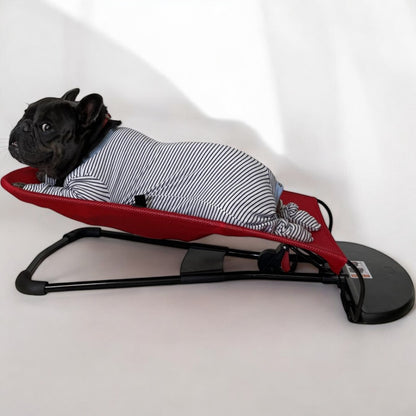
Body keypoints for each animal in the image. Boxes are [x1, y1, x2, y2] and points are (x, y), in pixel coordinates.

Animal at [9, 89, 320, 242]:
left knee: (280, 225)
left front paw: (28, 184)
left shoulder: (89, 193)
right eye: (24, 113)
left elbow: (50, 191)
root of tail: (272, 188)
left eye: (46, 127)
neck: (92, 143)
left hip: (237, 214)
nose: (21, 126)